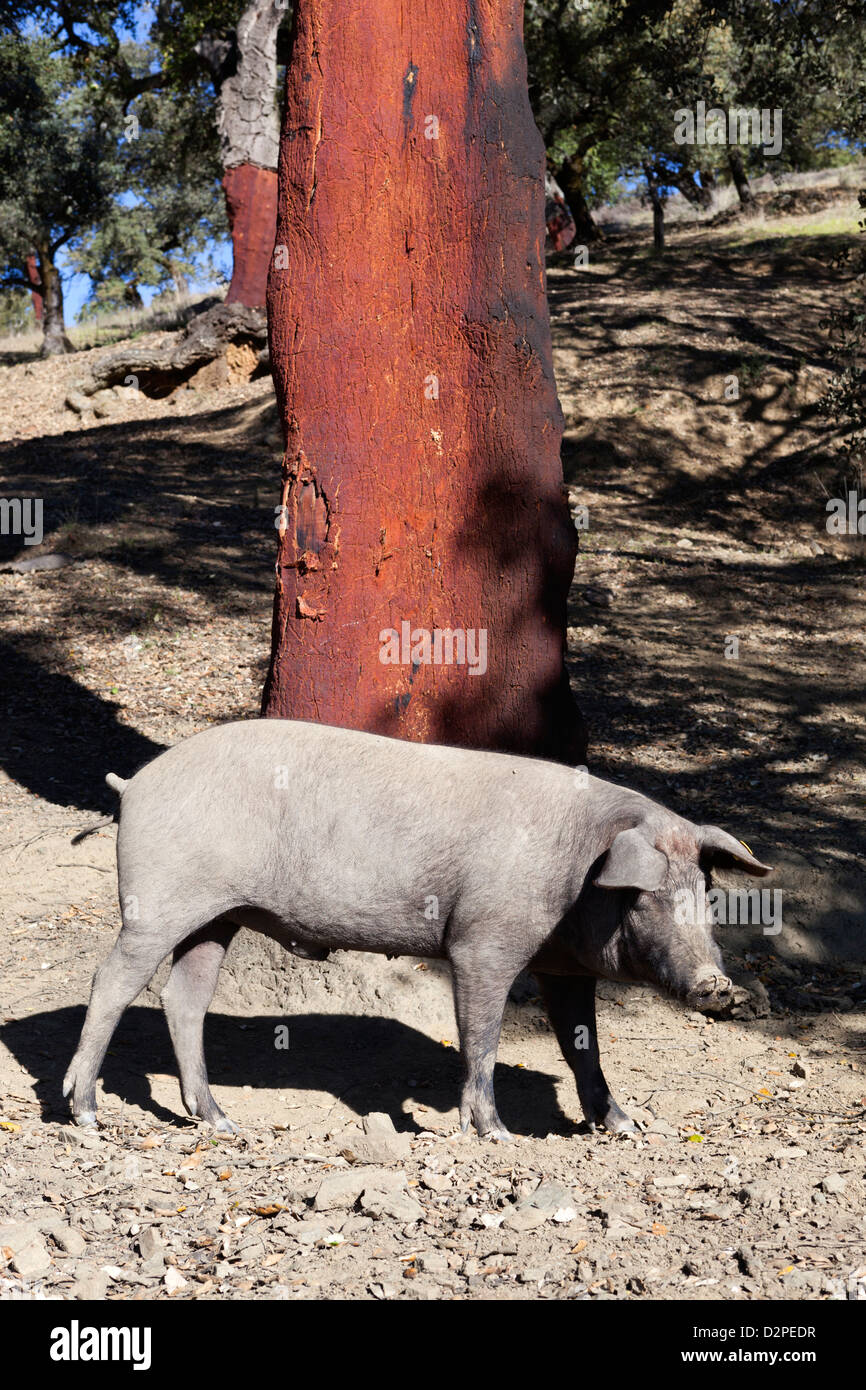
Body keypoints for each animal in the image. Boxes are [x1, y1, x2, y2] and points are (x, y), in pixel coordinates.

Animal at [64, 717, 778, 1139]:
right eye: (642, 898)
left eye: (705, 894)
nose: (718, 986)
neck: (578, 866)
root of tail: (135, 784)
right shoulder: (481, 943)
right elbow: (481, 1035)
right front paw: (495, 1135)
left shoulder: (561, 965)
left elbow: (583, 1045)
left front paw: (625, 1128)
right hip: (158, 900)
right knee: (112, 982)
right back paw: (85, 1114)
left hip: (215, 918)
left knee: (182, 999)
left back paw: (222, 1123)